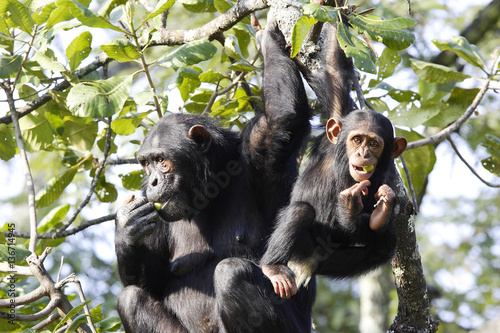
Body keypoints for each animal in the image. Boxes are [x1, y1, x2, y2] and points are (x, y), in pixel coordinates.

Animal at [114, 20, 314, 332]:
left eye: (162, 161)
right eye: (146, 163)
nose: (155, 181)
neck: (210, 189)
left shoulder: (261, 147)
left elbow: (284, 118)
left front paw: (266, 38)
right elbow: (149, 282)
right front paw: (126, 226)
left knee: (231, 272)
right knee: (131, 298)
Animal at [260, 24, 408, 298]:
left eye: (374, 144)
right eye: (357, 139)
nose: (364, 154)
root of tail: (303, 261)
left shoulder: (386, 179)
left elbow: (359, 230)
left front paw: (378, 214)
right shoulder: (339, 117)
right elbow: (333, 68)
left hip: (324, 260)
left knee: (384, 245)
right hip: (300, 247)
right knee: (300, 211)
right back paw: (273, 267)